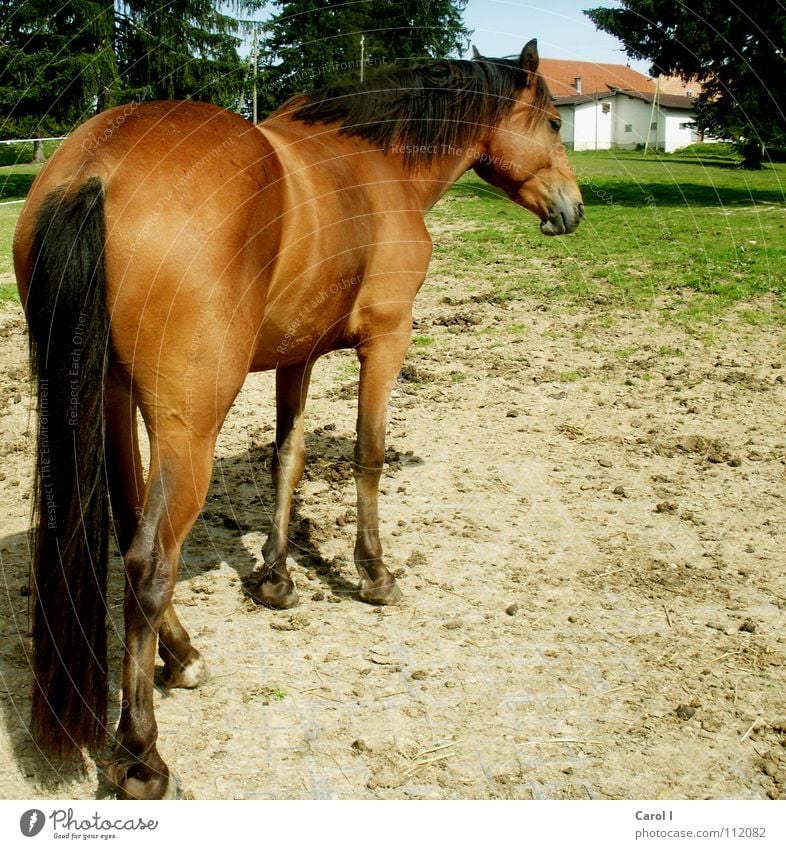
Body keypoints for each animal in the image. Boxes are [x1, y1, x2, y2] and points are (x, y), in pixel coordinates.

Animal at [12, 38, 580, 796]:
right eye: (553, 121)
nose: (574, 208)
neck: (379, 165)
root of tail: (97, 166)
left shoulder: (298, 354)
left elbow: (289, 455)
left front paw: (276, 578)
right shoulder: (388, 339)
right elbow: (369, 455)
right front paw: (374, 574)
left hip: (109, 398)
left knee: (131, 531)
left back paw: (183, 655)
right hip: (186, 426)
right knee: (149, 562)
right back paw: (142, 755)